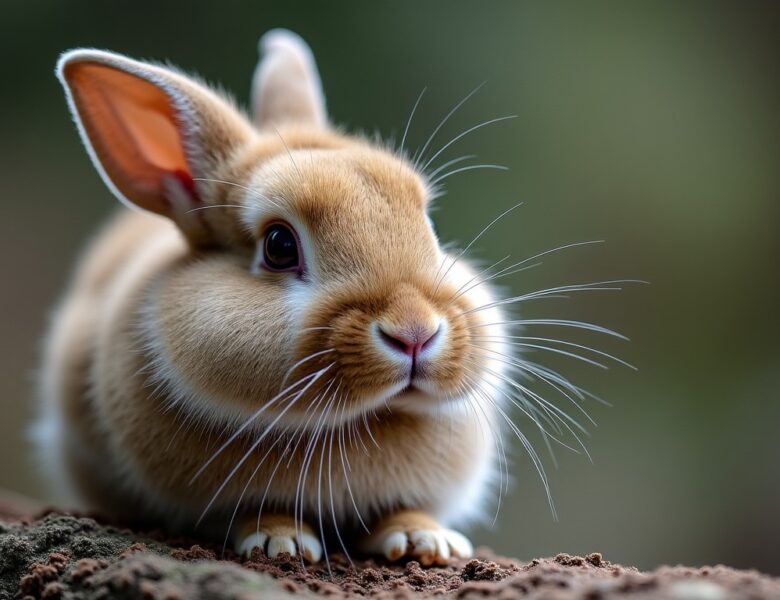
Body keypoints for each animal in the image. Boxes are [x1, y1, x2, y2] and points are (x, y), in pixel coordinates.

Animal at [36, 29, 519, 566]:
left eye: (429, 226)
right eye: (279, 246)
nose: (415, 332)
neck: (360, 421)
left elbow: (404, 510)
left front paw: (425, 541)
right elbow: (255, 512)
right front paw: (278, 543)